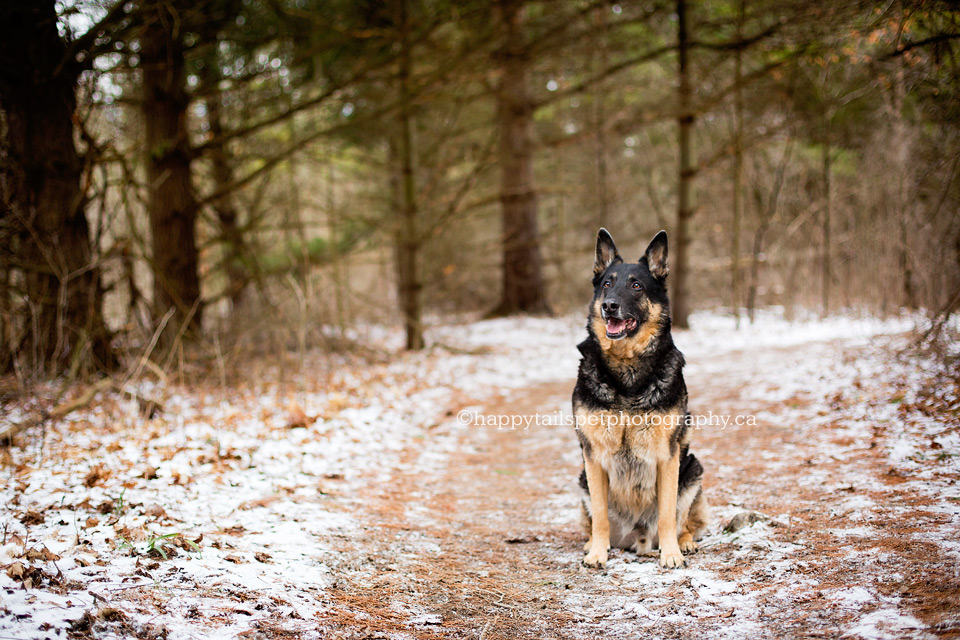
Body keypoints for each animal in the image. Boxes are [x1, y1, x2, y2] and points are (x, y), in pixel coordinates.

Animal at [572, 228, 708, 568]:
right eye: (607, 284)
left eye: (636, 286)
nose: (609, 305)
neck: (626, 370)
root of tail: (639, 539)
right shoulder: (592, 456)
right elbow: (600, 517)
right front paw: (597, 552)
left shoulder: (668, 456)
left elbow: (667, 514)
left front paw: (671, 554)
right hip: (581, 478)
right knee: (593, 520)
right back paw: (592, 544)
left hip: (692, 469)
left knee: (685, 521)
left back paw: (684, 543)